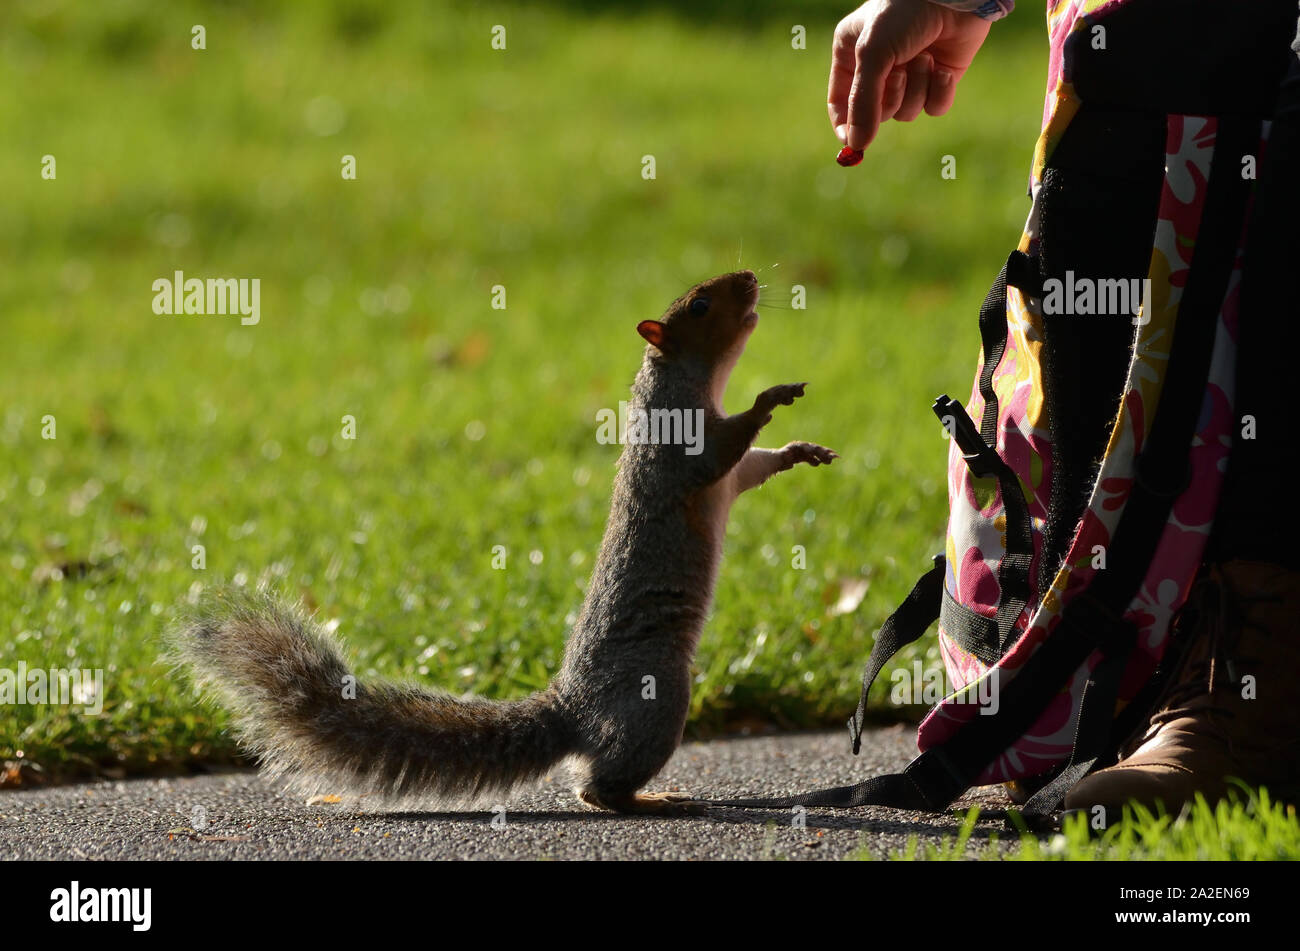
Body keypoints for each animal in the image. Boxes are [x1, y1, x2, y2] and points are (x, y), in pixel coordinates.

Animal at [173, 269, 837, 814]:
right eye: (699, 306)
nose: (748, 277)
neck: (693, 384)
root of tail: (572, 707)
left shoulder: (732, 478)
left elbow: (752, 465)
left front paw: (800, 450)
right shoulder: (681, 449)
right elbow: (722, 450)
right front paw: (770, 398)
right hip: (658, 693)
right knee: (598, 787)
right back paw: (650, 799)